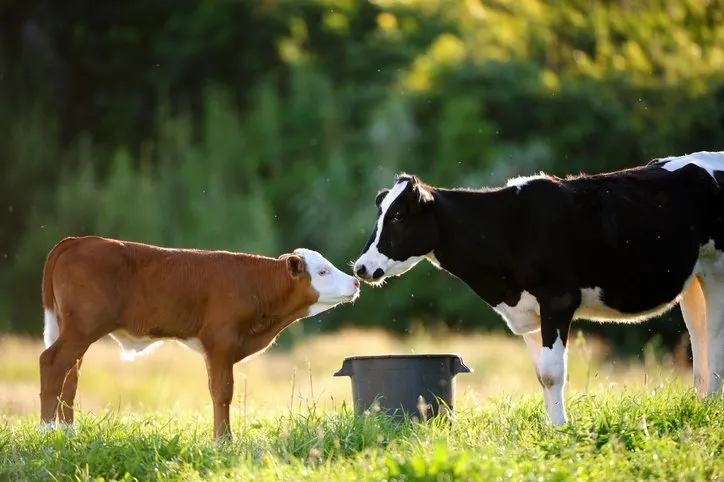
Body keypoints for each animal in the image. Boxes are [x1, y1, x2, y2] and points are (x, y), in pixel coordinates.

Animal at [38, 235, 360, 438]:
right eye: (322, 271)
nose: (356, 281)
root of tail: (78, 240)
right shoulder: (221, 340)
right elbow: (222, 391)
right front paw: (223, 441)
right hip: (82, 329)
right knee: (51, 362)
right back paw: (47, 432)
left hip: (76, 332)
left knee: (70, 373)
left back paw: (68, 432)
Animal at [352, 151, 724, 426]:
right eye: (380, 215)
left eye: (398, 217)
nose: (361, 268)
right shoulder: (527, 312)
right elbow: (540, 374)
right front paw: (550, 424)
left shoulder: (558, 300)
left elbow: (551, 372)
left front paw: (560, 429)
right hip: (693, 280)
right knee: (699, 337)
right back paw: (700, 403)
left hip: (717, 268)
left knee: (715, 336)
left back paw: (712, 406)